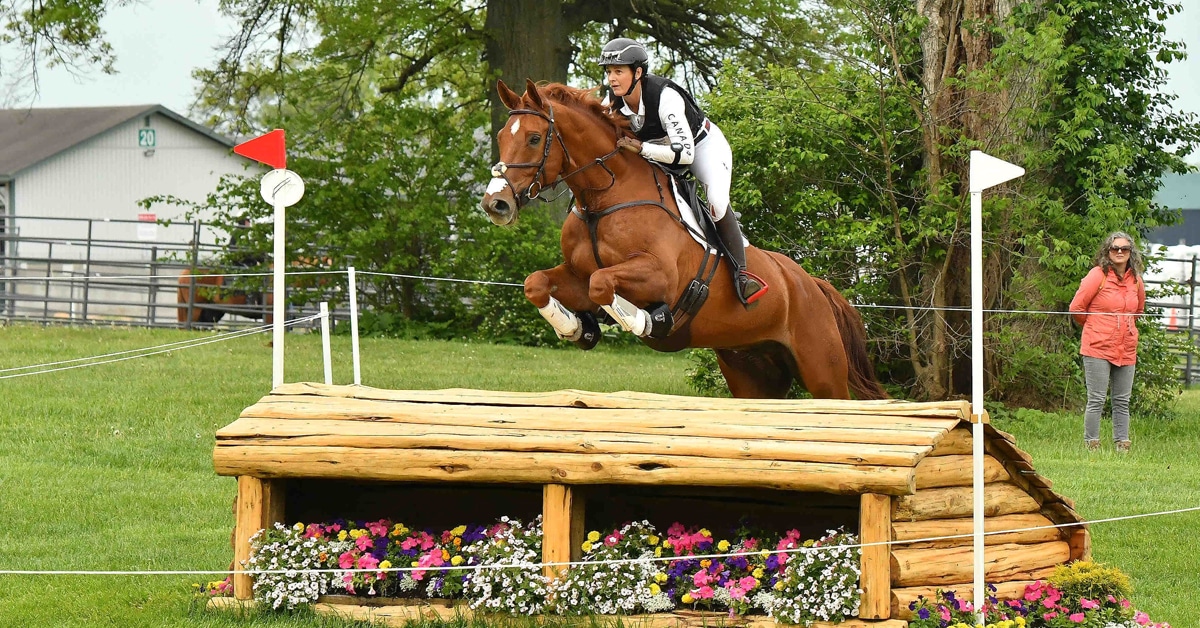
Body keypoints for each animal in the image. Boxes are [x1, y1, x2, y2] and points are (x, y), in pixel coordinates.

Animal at [480, 79, 886, 400]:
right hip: (752, 371)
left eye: (534, 138)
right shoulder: (575, 276)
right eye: (500, 137)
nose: (496, 204)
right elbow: (539, 283)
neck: (604, 201)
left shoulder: (660, 277)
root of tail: (812, 285)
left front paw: (646, 322)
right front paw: (577, 328)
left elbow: (602, 283)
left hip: (823, 370)